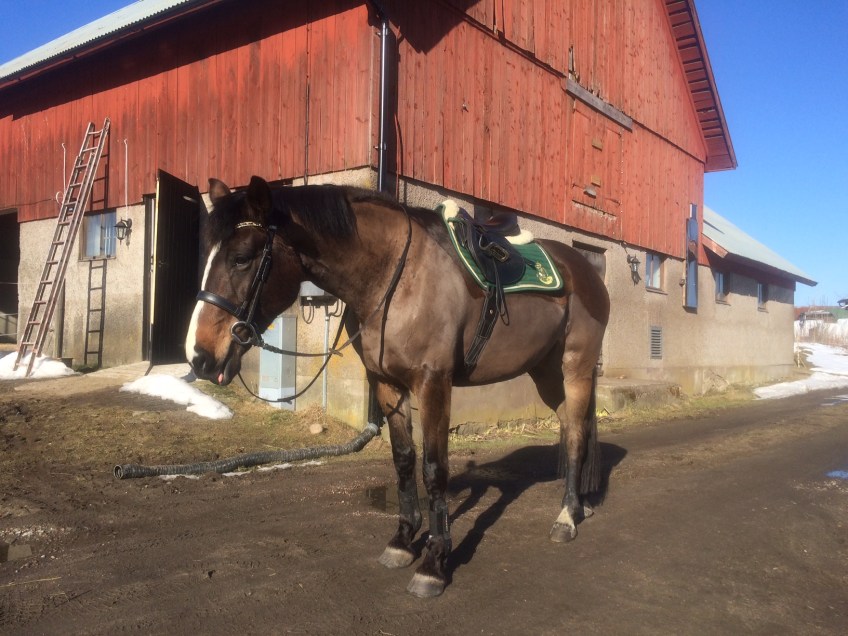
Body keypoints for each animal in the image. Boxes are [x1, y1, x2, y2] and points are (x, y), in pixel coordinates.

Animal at [185, 176, 610, 598]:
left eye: (242, 257)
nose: (199, 355)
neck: (396, 277)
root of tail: (585, 271)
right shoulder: (387, 384)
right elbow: (404, 460)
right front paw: (404, 542)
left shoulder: (433, 383)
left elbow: (434, 468)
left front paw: (434, 563)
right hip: (546, 373)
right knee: (571, 426)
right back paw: (579, 505)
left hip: (575, 368)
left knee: (575, 436)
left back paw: (566, 518)